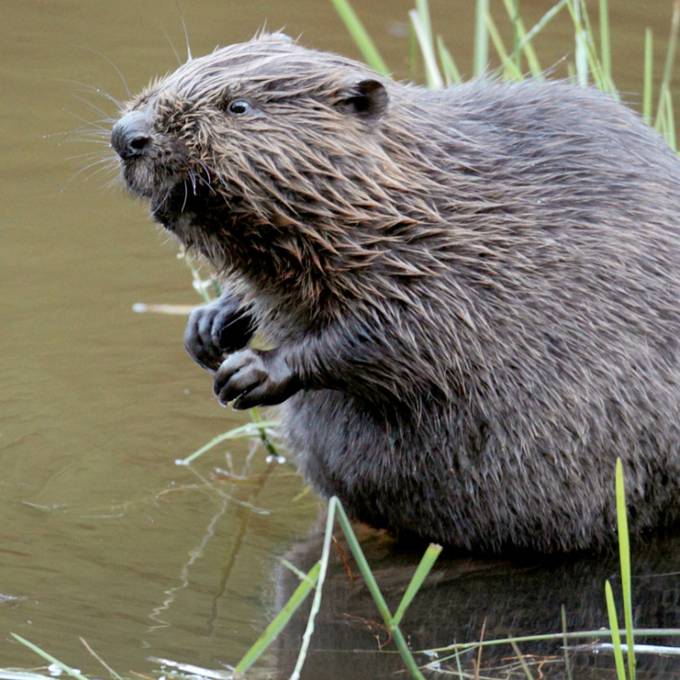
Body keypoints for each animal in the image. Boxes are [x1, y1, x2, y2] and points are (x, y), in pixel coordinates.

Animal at [111, 30, 680, 552]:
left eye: (238, 106)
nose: (126, 135)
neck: (407, 198)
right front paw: (208, 328)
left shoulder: (449, 268)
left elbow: (402, 340)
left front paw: (250, 372)